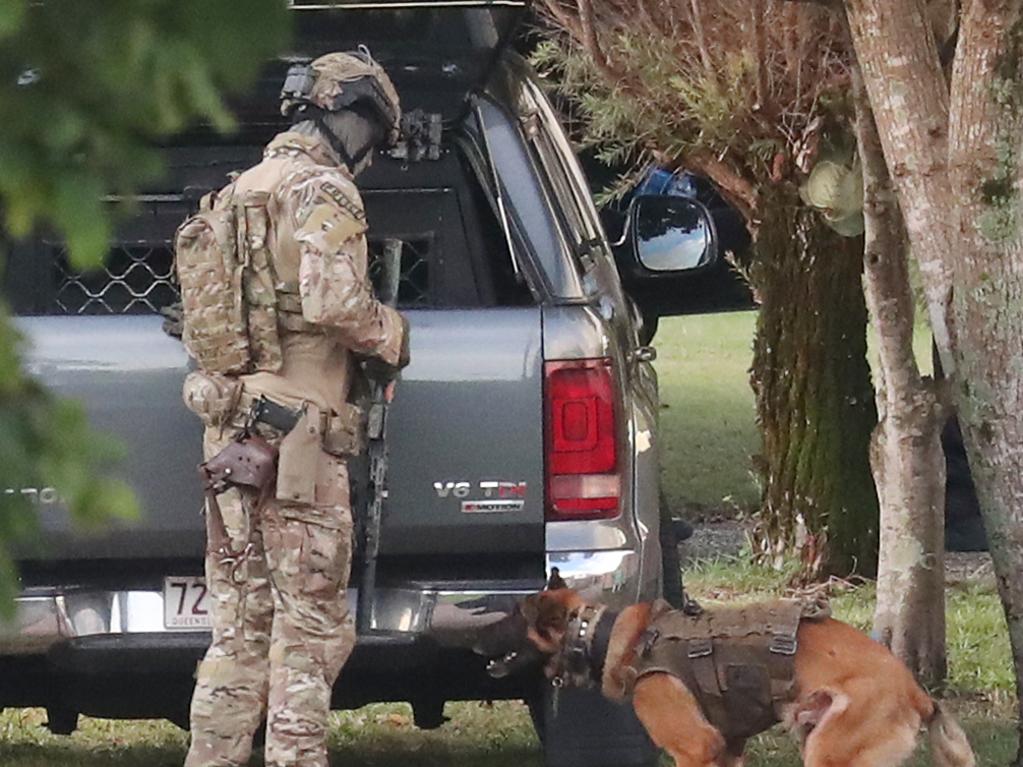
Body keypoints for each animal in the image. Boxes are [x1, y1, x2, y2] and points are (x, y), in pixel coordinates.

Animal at [474, 576, 969, 767]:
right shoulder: (727, 750)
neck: (601, 634)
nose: (474, 638)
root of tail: (918, 692)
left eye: (511, 617)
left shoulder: (695, 748)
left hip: (828, 753)